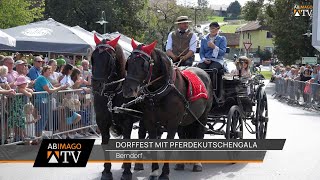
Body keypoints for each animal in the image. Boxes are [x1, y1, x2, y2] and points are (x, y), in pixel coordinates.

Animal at [90, 34, 144, 180]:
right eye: (93, 58)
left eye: (109, 60)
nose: (95, 85)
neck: (111, 94)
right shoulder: (102, 122)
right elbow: (105, 143)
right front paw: (106, 171)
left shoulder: (127, 122)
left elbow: (127, 143)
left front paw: (127, 172)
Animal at [124, 39, 214, 180]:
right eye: (129, 62)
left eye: (143, 65)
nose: (128, 89)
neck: (161, 91)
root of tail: (204, 73)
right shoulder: (150, 121)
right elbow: (153, 143)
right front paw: (154, 171)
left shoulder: (172, 123)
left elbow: (168, 146)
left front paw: (164, 173)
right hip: (186, 119)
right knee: (183, 136)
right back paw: (181, 163)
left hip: (203, 116)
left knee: (200, 134)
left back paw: (197, 164)